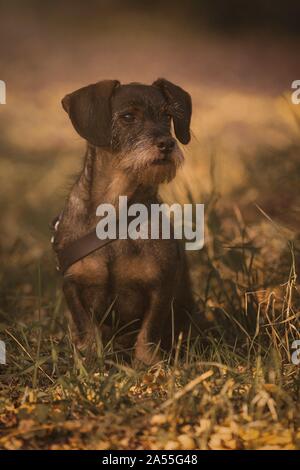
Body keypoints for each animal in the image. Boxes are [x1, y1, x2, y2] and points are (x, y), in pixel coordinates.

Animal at [52, 79, 196, 366]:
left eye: (167, 116)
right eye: (128, 117)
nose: (167, 144)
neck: (113, 213)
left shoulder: (161, 285)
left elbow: (149, 331)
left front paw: (148, 363)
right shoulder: (72, 284)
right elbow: (86, 326)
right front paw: (89, 357)